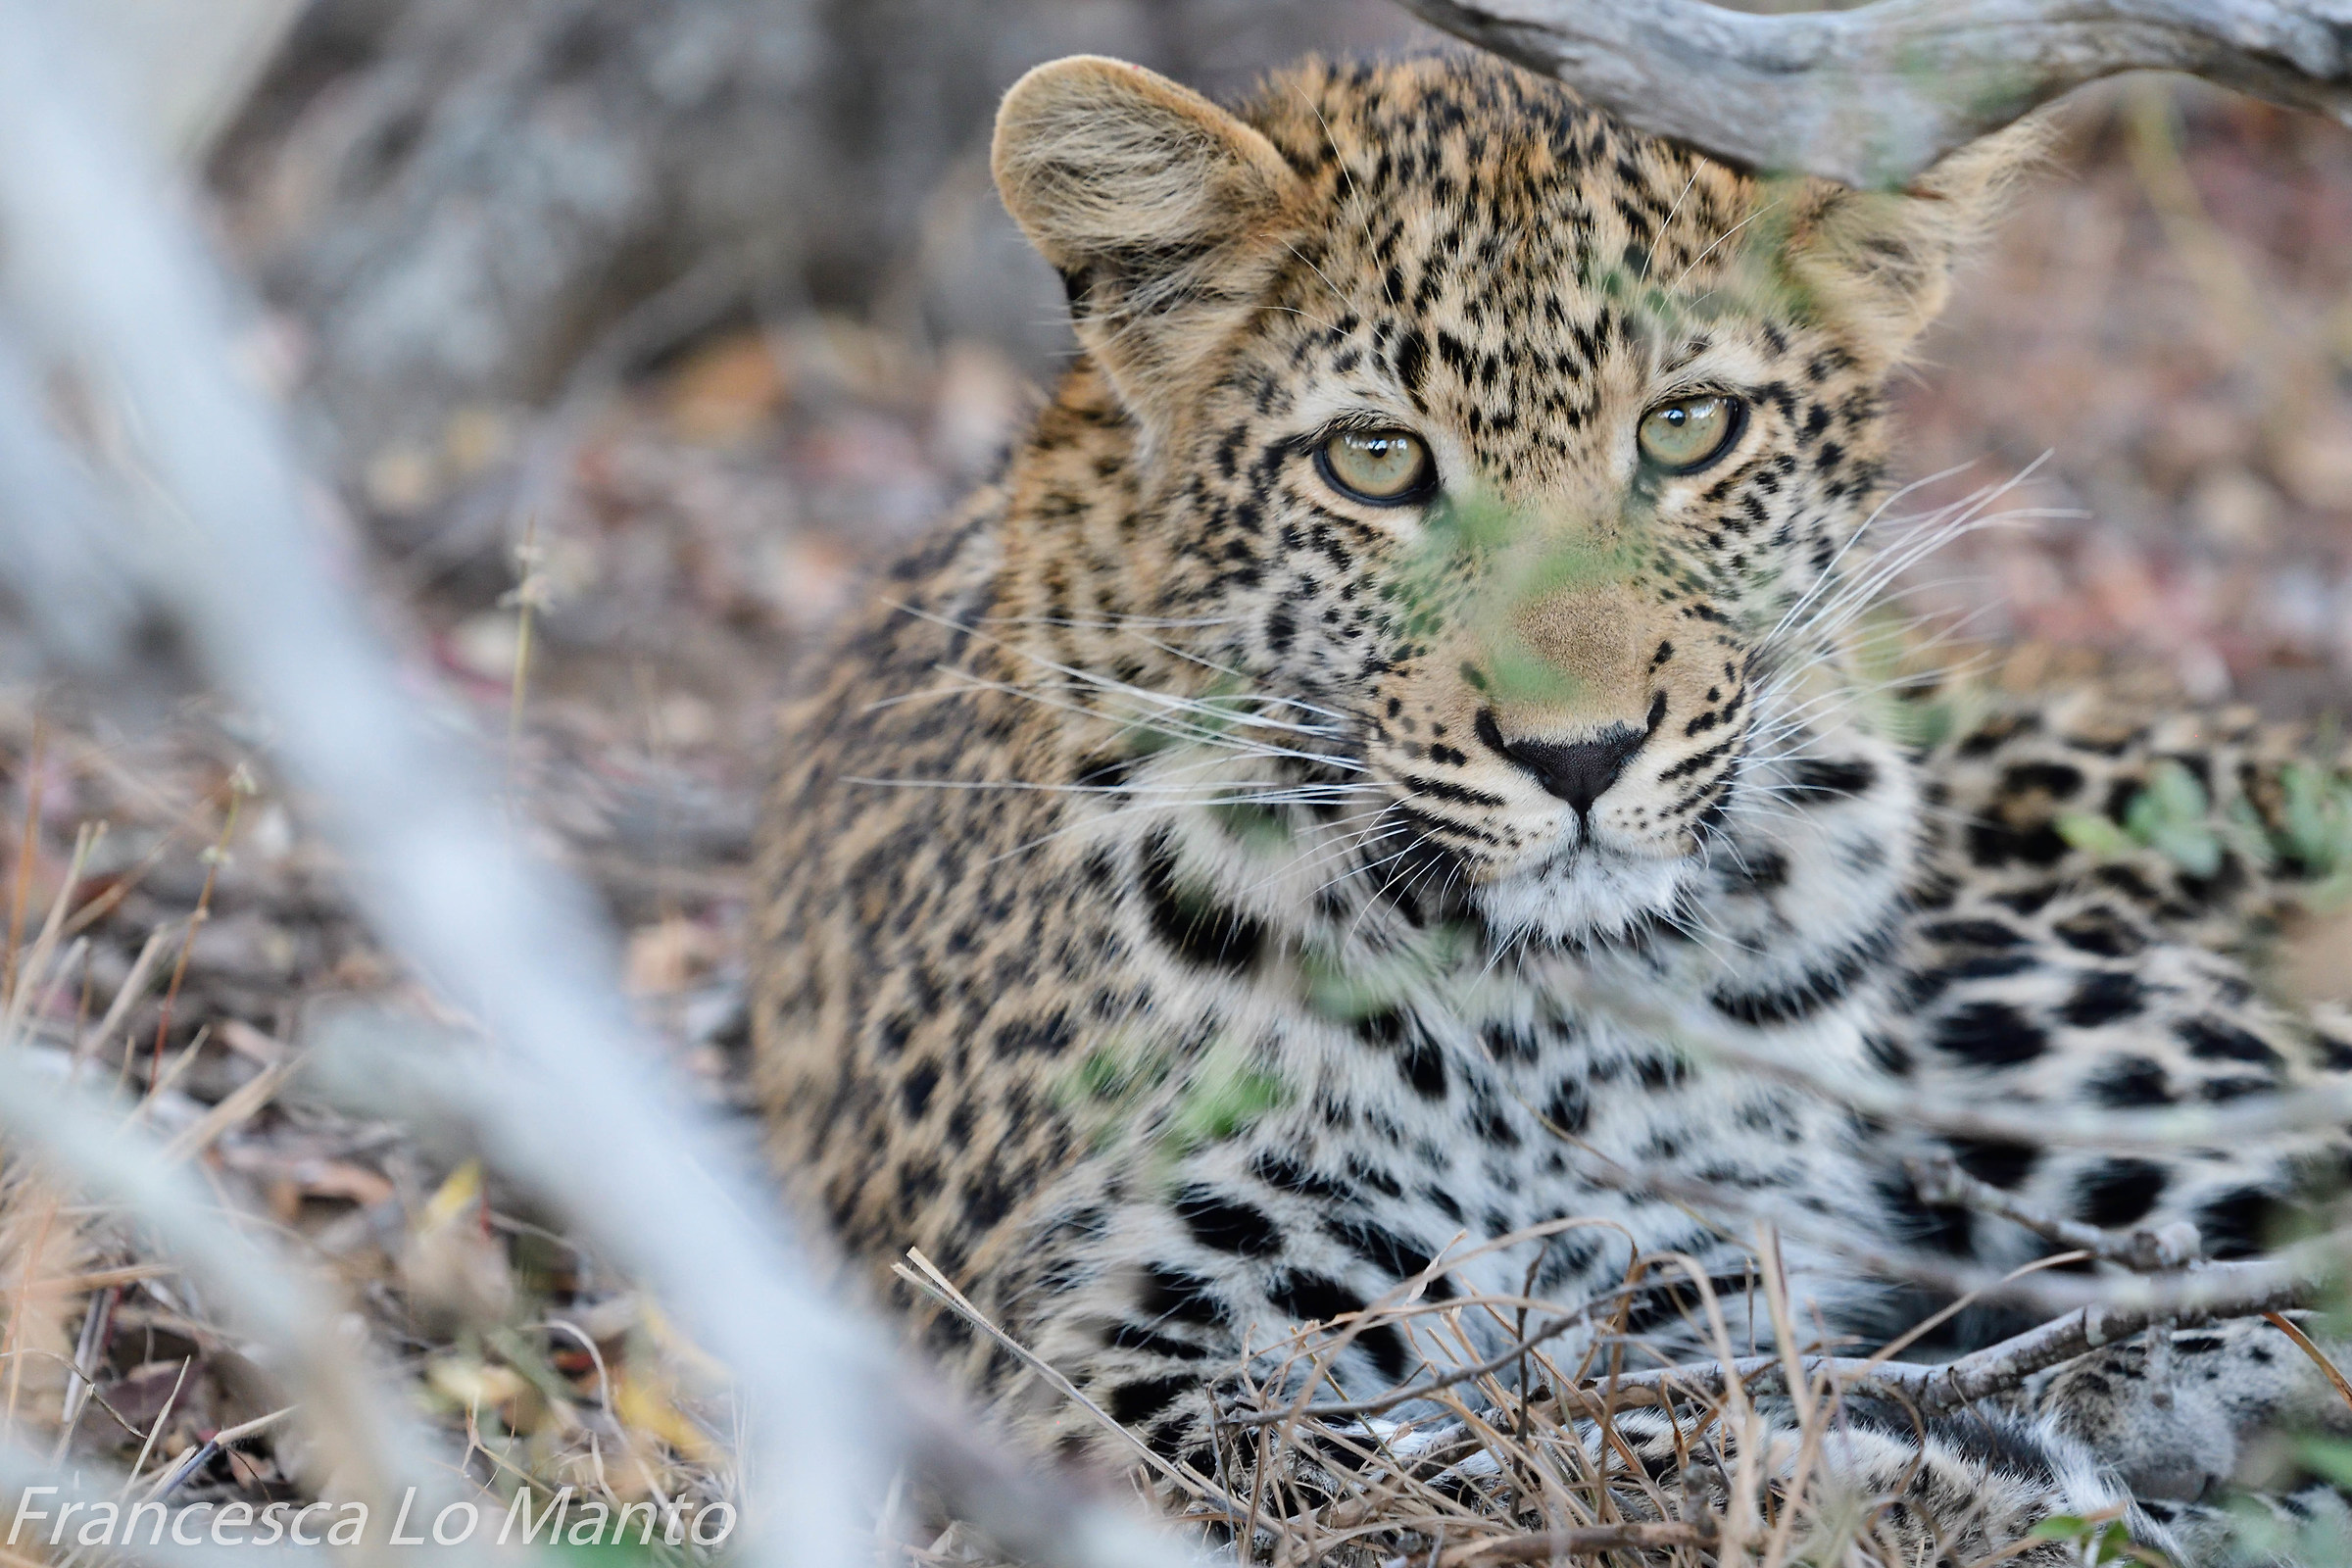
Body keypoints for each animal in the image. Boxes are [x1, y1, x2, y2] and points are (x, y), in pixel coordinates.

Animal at [751, 48, 2352, 1564]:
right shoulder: (1107, 1362)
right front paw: (2006, 1482)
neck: (1536, 1023)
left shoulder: (1695, 1273)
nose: (1581, 756)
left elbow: (1648, 1429)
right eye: (1376, 460)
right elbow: (1497, 1462)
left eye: (1691, 428)